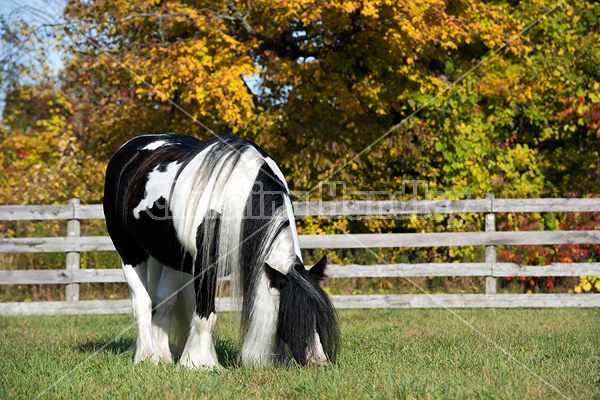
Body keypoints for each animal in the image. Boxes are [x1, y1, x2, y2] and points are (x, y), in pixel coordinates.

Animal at [102, 135, 338, 368]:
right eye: (293, 316)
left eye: (318, 317)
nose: (318, 362)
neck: (238, 197)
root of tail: (131, 147)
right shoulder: (205, 266)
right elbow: (206, 316)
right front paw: (201, 364)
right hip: (130, 252)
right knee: (142, 303)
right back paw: (147, 356)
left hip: (171, 259)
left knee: (164, 301)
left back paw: (164, 356)